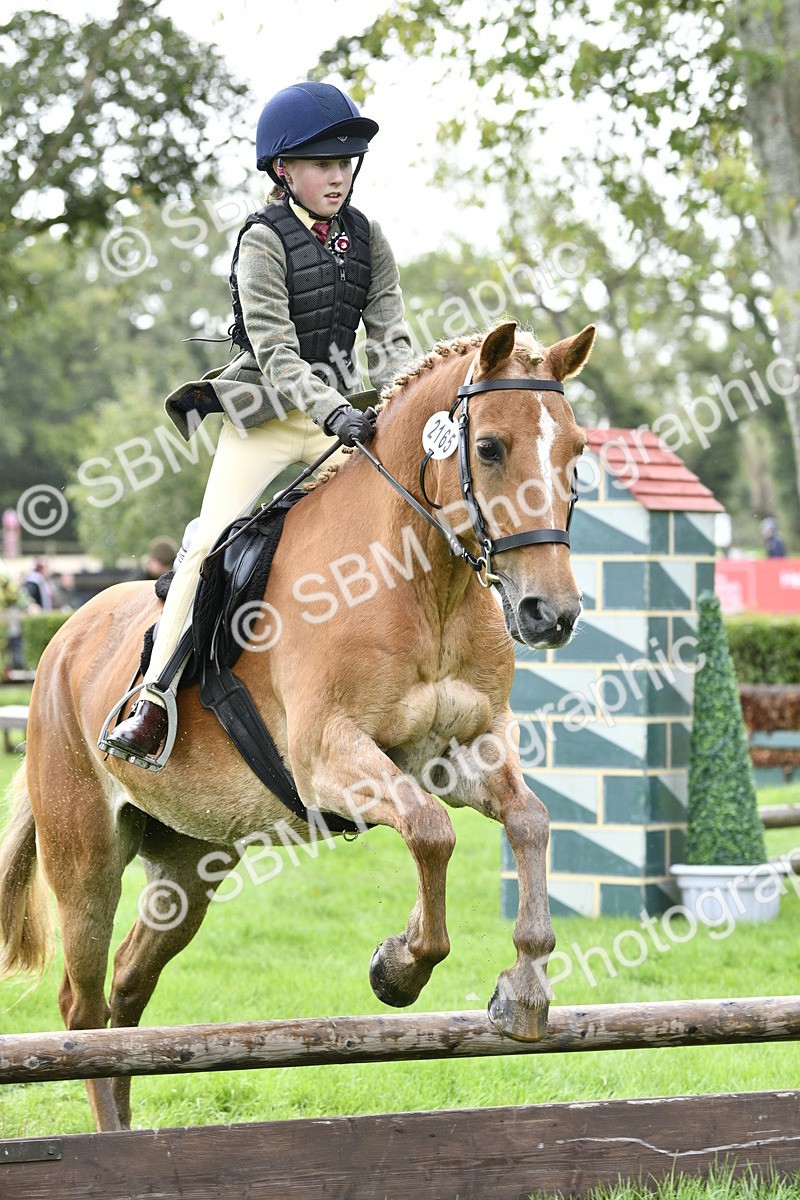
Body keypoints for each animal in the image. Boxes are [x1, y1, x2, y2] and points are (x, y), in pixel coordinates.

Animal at [0, 319, 594, 1132]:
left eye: (576, 452)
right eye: (492, 446)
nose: (550, 614)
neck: (423, 581)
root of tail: (62, 641)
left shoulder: (464, 747)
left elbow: (529, 821)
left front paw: (525, 989)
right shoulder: (327, 757)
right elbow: (430, 830)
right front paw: (400, 968)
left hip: (185, 865)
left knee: (128, 986)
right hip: (85, 858)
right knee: (82, 1005)